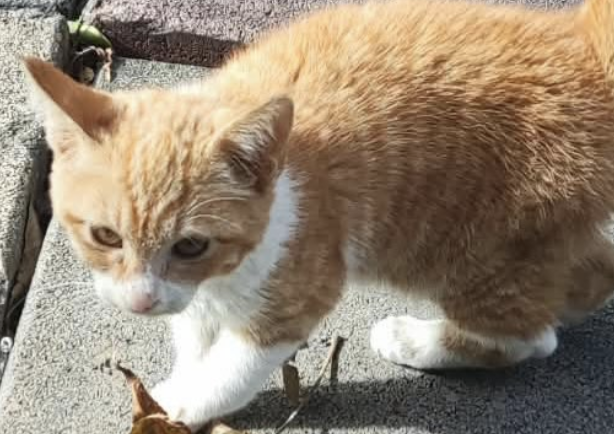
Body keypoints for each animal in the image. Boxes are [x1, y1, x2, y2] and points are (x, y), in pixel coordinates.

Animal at [23, 0, 614, 430]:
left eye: (191, 244)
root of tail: (583, 54)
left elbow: (232, 367)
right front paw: (187, 365)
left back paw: (413, 339)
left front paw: (180, 403)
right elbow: (195, 330)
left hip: (473, 251)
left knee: (527, 335)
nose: (141, 303)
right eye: (106, 236)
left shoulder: (301, 285)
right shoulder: (197, 294)